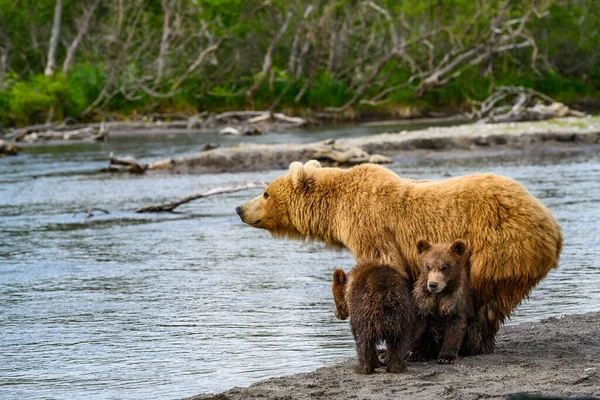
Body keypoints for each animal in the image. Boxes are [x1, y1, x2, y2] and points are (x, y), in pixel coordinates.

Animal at [237, 159, 564, 354]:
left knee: (478, 296)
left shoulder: (369, 226)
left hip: (496, 245)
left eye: (265, 193)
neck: (337, 210)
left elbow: (383, 267)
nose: (240, 208)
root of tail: (551, 223)